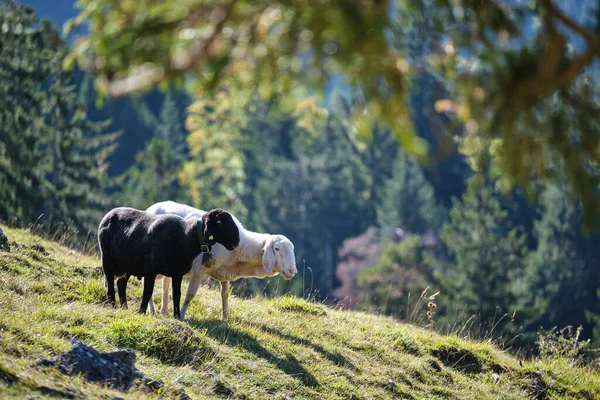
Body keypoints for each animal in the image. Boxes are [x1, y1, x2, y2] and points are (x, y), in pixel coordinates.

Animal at [98, 206, 239, 318]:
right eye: (220, 221)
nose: (236, 240)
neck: (186, 236)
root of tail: (108, 214)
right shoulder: (150, 269)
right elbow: (147, 292)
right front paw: (141, 312)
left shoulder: (177, 273)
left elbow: (177, 295)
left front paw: (177, 316)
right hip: (107, 258)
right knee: (110, 284)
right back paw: (112, 306)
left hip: (127, 264)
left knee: (121, 283)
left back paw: (124, 307)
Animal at [145, 200, 296, 318]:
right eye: (277, 249)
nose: (292, 271)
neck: (240, 247)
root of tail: (151, 208)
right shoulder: (199, 267)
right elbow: (190, 294)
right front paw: (181, 315)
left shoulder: (225, 273)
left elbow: (224, 295)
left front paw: (226, 317)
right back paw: (152, 311)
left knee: (165, 283)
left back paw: (164, 311)